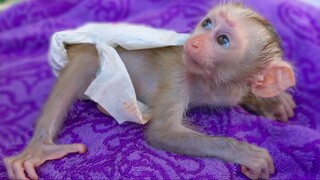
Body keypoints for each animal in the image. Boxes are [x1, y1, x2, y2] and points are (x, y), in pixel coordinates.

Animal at [4, 2, 296, 180]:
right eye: (207, 24)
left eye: (223, 40)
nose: (195, 42)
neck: (214, 82)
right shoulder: (178, 75)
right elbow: (163, 133)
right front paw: (246, 152)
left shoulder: (232, 89)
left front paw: (272, 100)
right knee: (85, 59)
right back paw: (40, 148)